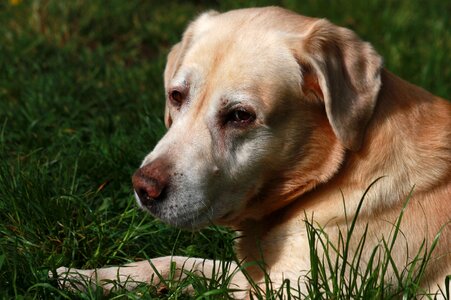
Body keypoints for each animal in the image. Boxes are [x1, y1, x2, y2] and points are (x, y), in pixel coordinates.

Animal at [53, 7, 451, 298]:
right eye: (176, 96)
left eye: (241, 116)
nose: (143, 187)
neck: (333, 176)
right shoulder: (255, 274)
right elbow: (176, 261)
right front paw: (83, 277)